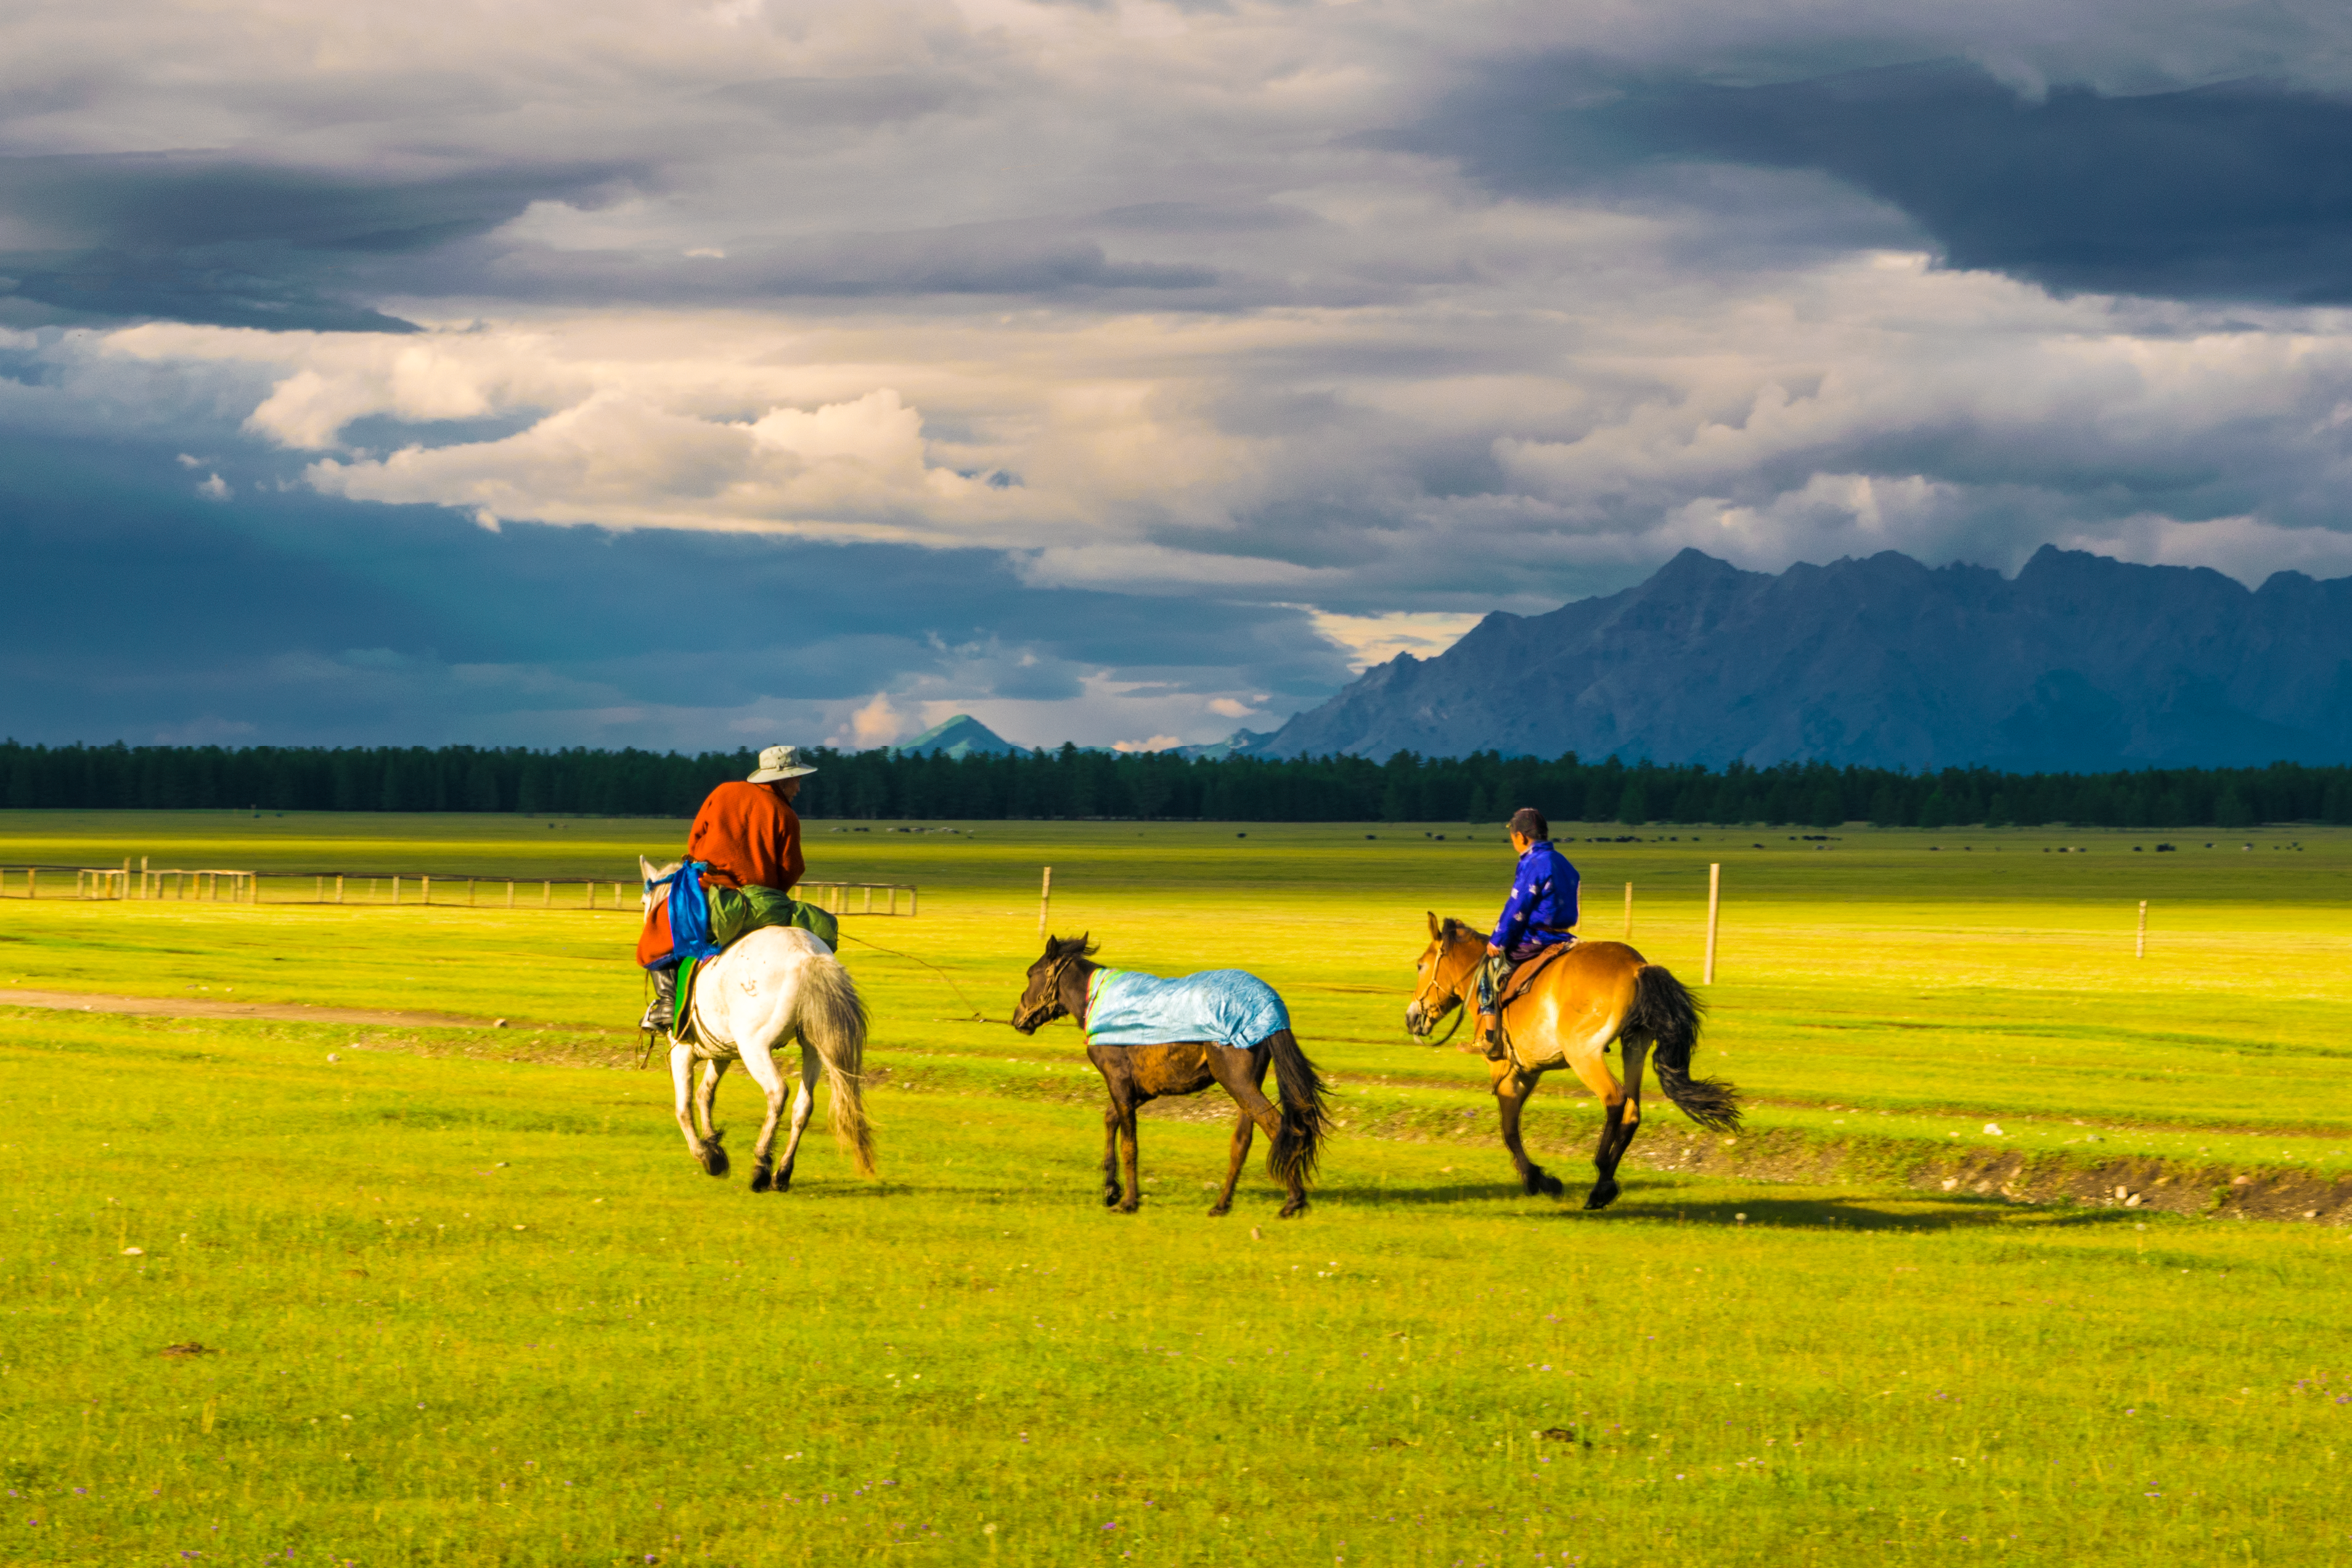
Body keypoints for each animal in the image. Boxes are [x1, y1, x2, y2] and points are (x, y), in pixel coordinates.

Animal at [640, 860, 879, 1189]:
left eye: (645, 903)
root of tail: (806, 955)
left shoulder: (682, 1051)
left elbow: (683, 1107)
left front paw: (708, 1156)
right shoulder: (722, 1053)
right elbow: (705, 1095)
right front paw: (715, 1145)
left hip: (754, 1047)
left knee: (777, 1092)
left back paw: (761, 1166)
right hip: (813, 1048)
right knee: (804, 1105)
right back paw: (783, 1172)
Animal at [1021, 940, 1336, 1222]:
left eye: (1030, 974)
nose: (1017, 1017)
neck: (1097, 1000)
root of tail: (1270, 1007)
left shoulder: (1119, 1082)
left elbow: (1129, 1143)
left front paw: (1128, 1201)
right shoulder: (1145, 1088)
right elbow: (1111, 1119)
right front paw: (1111, 1188)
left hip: (1238, 1083)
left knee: (1280, 1127)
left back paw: (1293, 1201)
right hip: (1246, 1087)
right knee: (1242, 1141)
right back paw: (1222, 1205)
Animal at [1402, 912, 1740, 1213]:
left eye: (1420, 965)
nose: (1411, 1017)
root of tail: (1637, 968)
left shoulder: (1503, 1069)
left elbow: (1508, 1129)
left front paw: (1539, 1180)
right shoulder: (1529, 1072)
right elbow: (1512, 1126)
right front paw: (1536, 1177)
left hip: (1584, 1054)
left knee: (1614, 1098)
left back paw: (1601, 1179)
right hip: (1635, 1045)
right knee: (1632, 1110)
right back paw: (1604, 1183)